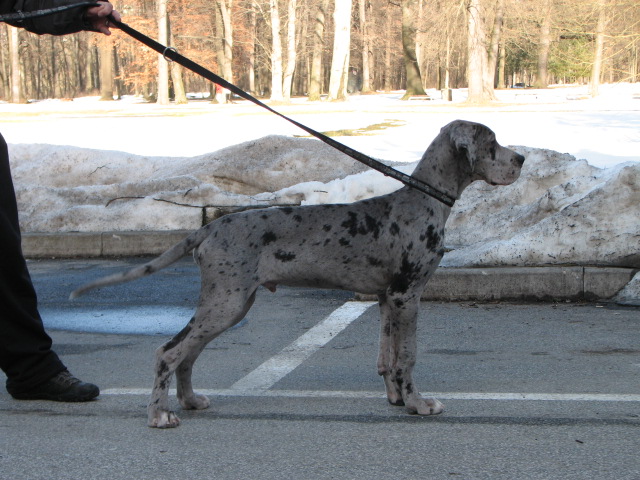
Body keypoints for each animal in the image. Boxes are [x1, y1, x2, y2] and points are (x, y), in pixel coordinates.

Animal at [72, 120, 525, 428]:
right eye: (492, 144)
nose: (521, 158)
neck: (423, 200)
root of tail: (208, 227)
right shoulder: (407, 295)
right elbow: (408, 356)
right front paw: (419, 404)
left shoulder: (385, 299)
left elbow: (387, 357)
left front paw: (397, 399)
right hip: (227, 302)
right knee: (168, 352)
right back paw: (159, 415)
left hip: (230, 304)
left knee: (186, 351)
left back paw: (189, 400)